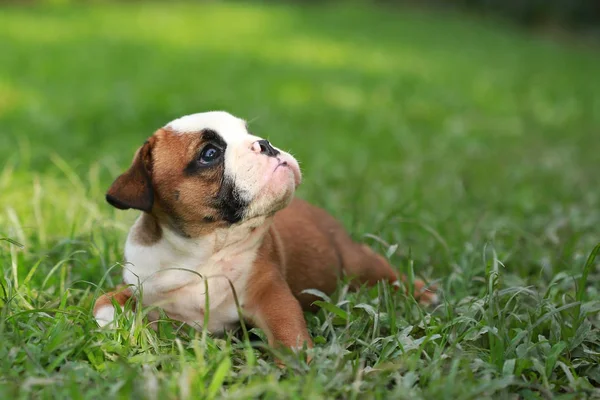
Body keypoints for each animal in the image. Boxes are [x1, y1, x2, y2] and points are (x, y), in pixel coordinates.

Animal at [95, 111, 440, 354]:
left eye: (248, 132)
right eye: (210, 154)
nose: (265, 144)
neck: (204, 250)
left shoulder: (271, 296)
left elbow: (288, 332)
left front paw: (300, 368)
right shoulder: (142, 285)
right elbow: (103, 299)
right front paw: (112, 326)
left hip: (357, 263)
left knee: (389, 275)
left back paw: (425, 293)